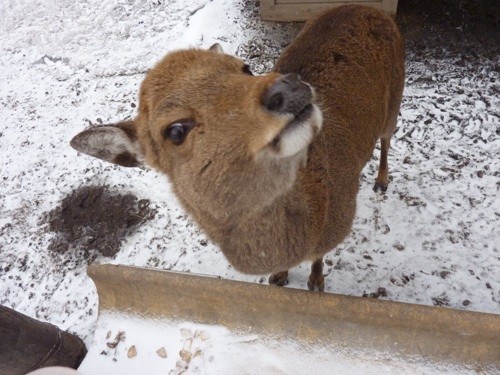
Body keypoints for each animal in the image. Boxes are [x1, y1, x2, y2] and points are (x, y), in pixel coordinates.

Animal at [72, 5, 404, 292]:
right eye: (176, 130)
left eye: (245, 68)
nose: (287, 87)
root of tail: (374, 9)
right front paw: (279, 278)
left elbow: (319, 259)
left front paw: (316, 282)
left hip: (395, 98)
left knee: (387, 138)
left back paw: (382, 181)